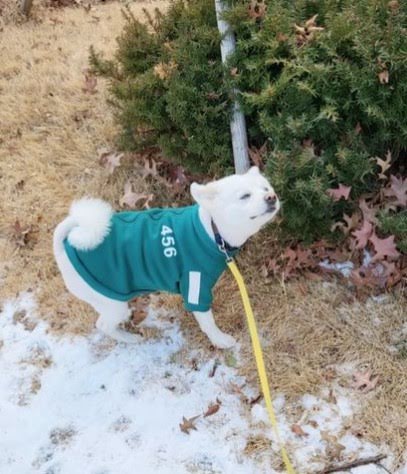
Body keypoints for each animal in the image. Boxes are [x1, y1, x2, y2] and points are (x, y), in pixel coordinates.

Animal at [52, 167, 278, 348]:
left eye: (266, 189)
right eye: (245, 196)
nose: (272, 197)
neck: (212, 230)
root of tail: (64, 247)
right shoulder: (195, 285)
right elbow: (208, 322)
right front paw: (221, 341)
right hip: (110, 302)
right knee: (103, 324)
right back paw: (129, 338)